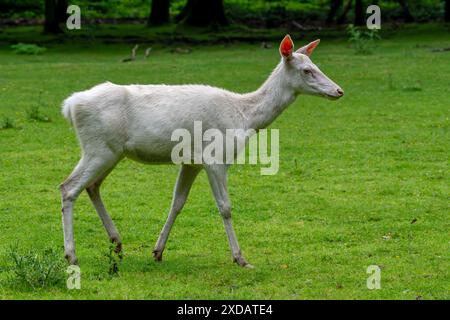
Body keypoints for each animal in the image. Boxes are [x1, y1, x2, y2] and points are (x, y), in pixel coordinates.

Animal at [59, 35, 342, 266]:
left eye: (317, 66)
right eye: (307, 70)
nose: (339, 90)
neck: (245, 118)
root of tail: (69, 105)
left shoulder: (192, 161)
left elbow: (177, 203)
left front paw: (158, 252)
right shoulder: (216, 157)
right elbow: (225, 206)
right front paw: (240, 258)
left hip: (110, 152)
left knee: (92, 186)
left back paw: (117, 242)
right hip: (98, 147)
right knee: (68, 187)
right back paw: (72, 255)